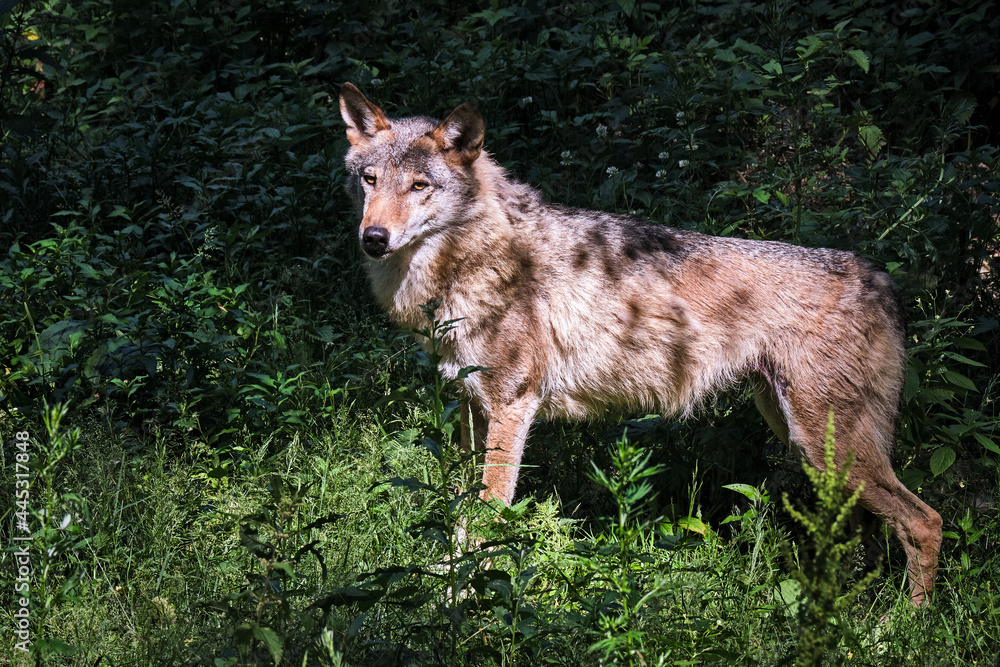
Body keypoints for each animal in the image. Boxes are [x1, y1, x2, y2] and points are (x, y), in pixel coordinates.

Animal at [340, 81, 940, 604]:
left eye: (419, 186)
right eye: (370, 180)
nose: (373, 239)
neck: (463, 266)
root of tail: (878, 278)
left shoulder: (512, 406)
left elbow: (488, 516)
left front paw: (465, 602)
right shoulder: (469, 406)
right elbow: (461, 519)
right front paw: (447, 590)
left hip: (827, 446)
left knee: (925, 522)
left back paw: (899, 626)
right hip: (804, 440)